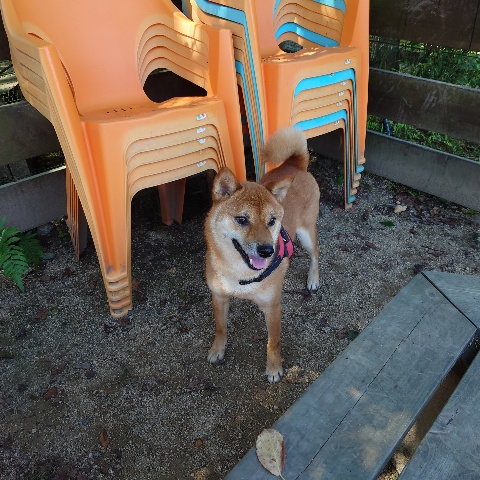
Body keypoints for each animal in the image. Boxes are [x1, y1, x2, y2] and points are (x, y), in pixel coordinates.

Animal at [204, 127, 320, 383]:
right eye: (241, 219)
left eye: (272, 221)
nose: (267, 250)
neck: (239, 273)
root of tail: (296, 165)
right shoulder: (219, 296)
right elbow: (220, 327)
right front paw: (217, 350)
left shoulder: (273, 307)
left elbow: (272, 342)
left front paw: (274, 368)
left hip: (307, 234)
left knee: (316, 254)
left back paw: (313, 279)